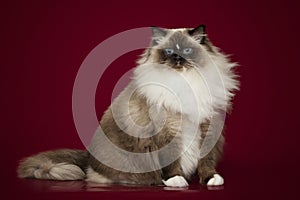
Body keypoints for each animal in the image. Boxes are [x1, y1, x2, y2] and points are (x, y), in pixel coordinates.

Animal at [18, 25, 239, 188]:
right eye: (169, 51)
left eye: (186, 50)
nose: (177, 58)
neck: (184, 82)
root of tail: (87, 159)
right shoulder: (168, 132)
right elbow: (171, 161)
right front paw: (176, 180)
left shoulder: (207, 128)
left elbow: (206, 161)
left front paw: (211, 179)